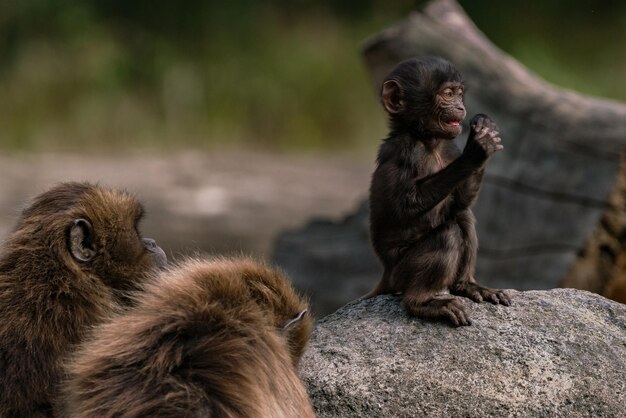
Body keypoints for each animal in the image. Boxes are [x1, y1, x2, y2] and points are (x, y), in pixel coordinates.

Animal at [366, 56, 508, 326]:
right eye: (448, 94)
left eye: (460, 94)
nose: (461, 107)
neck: (427, 140)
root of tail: (386, 274)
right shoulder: (405, 150)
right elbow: (407, 204)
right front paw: (476, 150)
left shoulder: (449, 148)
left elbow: (461, 203)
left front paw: (484, 128)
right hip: (402, 273)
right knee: (448, 234)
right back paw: (422, 303)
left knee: (462, 218)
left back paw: (466, 286)